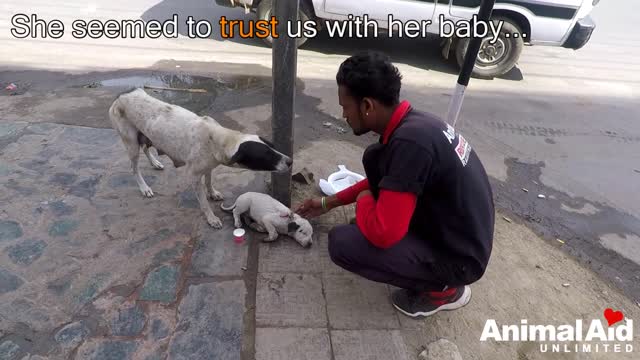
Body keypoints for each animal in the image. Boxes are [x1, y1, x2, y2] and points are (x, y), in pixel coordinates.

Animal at [108, 88, 292, 228]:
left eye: (273, 147)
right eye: (265, 155)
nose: (290, 161)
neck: (220, 138)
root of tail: (122, 95)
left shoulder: (209, 165)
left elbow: (209, 181)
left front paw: (213, 193)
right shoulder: (194, 176)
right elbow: (203, 202)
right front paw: (211, 218)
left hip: (146, 136)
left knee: (146, 148)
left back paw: (155, 162)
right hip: (131, 144)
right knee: (134, 168)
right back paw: (144, 187)